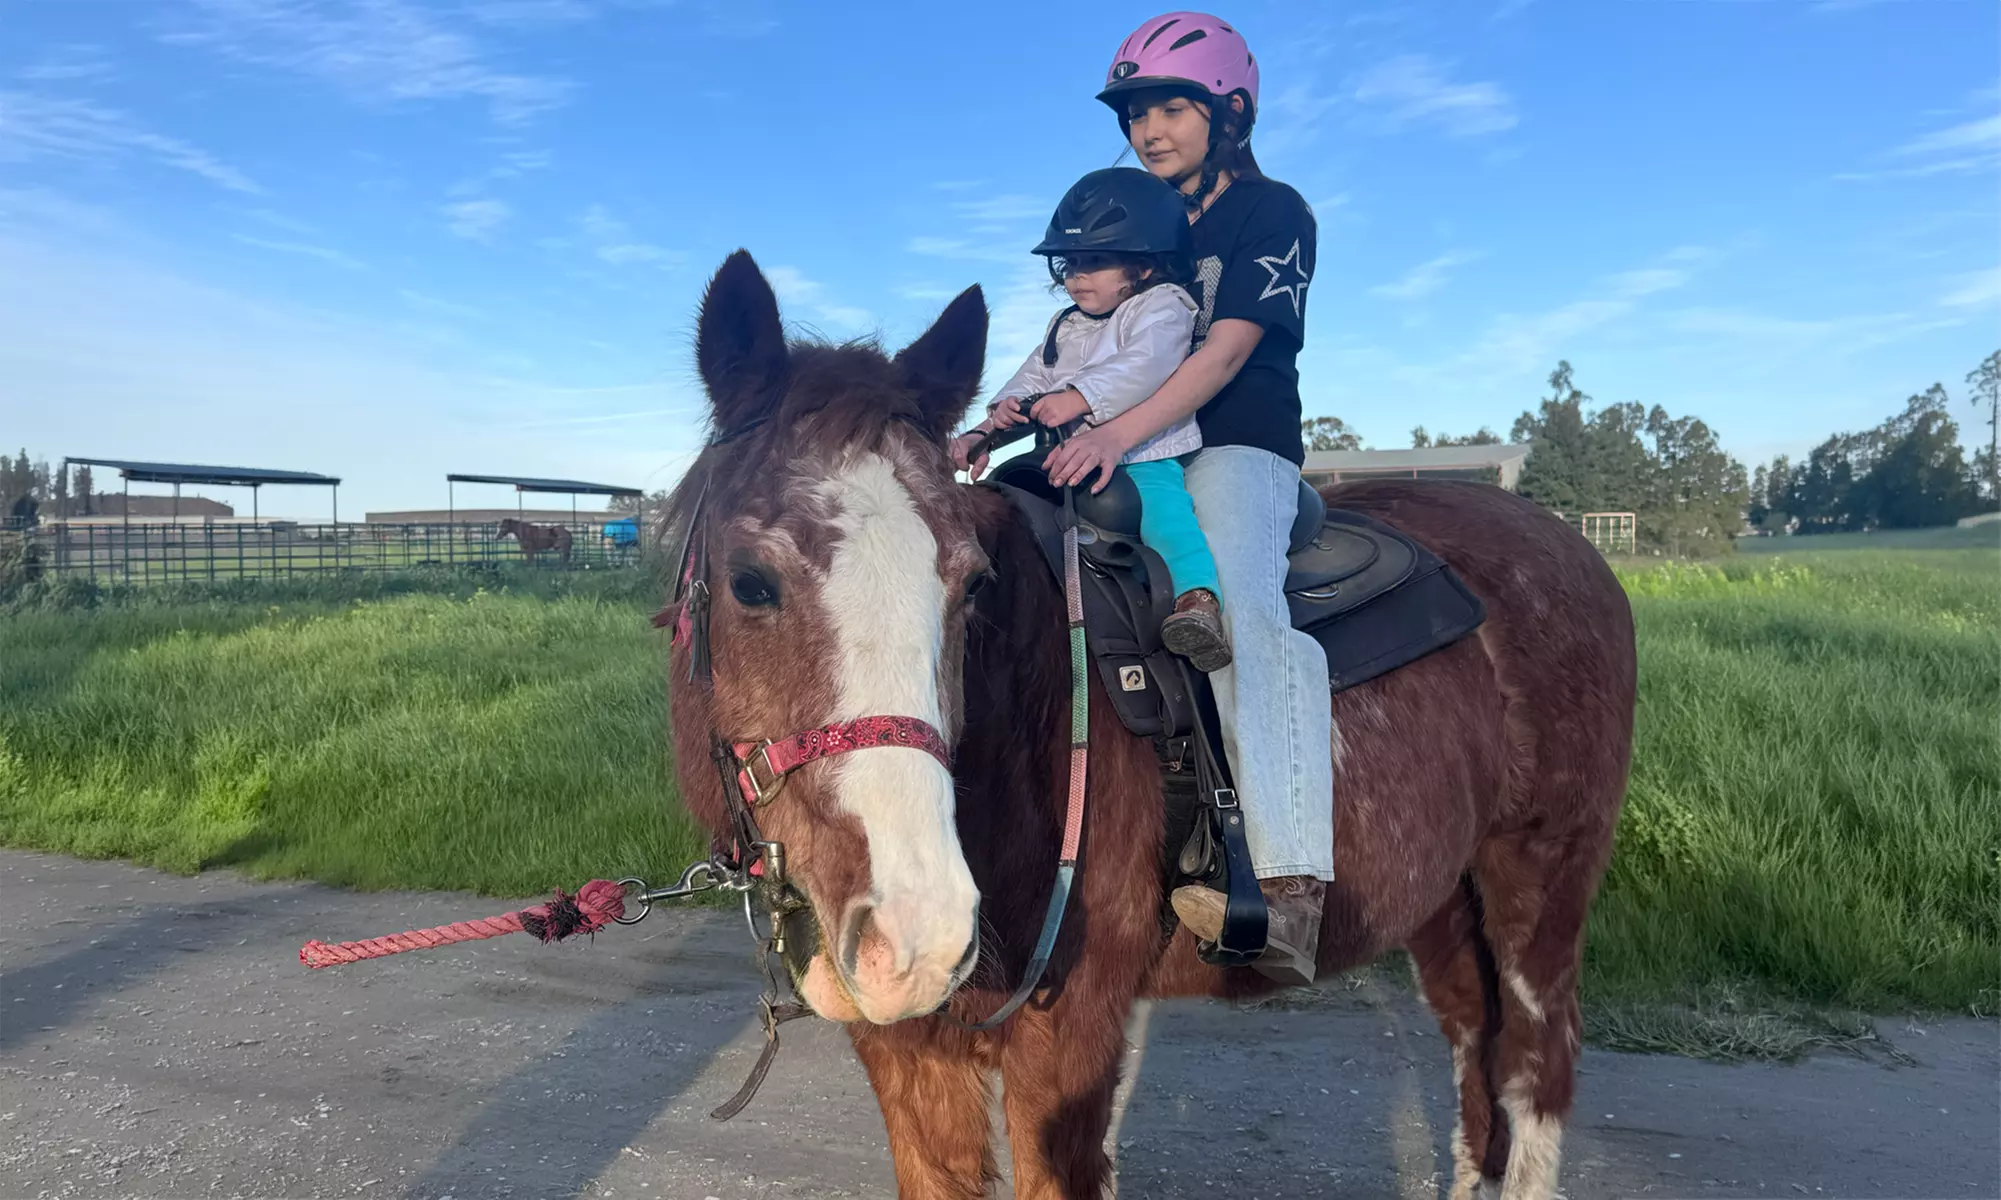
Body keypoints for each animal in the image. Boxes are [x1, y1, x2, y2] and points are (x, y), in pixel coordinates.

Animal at [658, 251, 1636, 1200]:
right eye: (748, 581)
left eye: (971, 585)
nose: (917, 932)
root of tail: (1574, 546)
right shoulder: (905, 1051)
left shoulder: (1069, 1036)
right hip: (1442, 897)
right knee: (1475, 1046)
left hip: (1540, 875)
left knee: (1534, 1064)